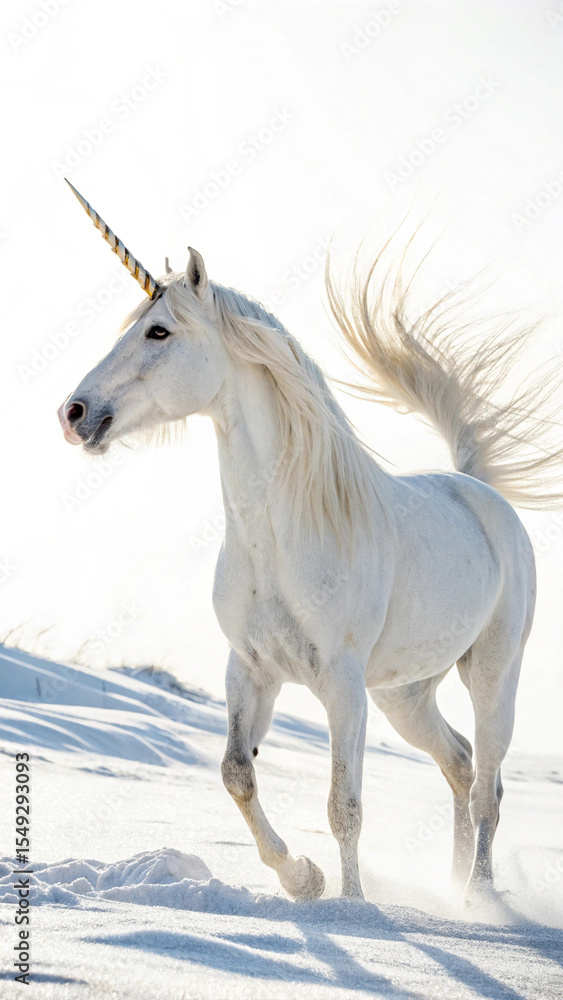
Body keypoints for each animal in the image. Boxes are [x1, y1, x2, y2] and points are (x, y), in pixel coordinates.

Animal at [58, 226, 562, 905]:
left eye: (158, 331)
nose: (75, 414)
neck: (284, 536)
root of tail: (478, 492)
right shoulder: (250, 670)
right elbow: (236, 774)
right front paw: (304, 879)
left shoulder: (342, 687)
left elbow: (343, 805)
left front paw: (352, 908)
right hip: (404, 695)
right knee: (458, 764)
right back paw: (454, 883)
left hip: (491, 675)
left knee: (488, 784)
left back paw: (476, 898)